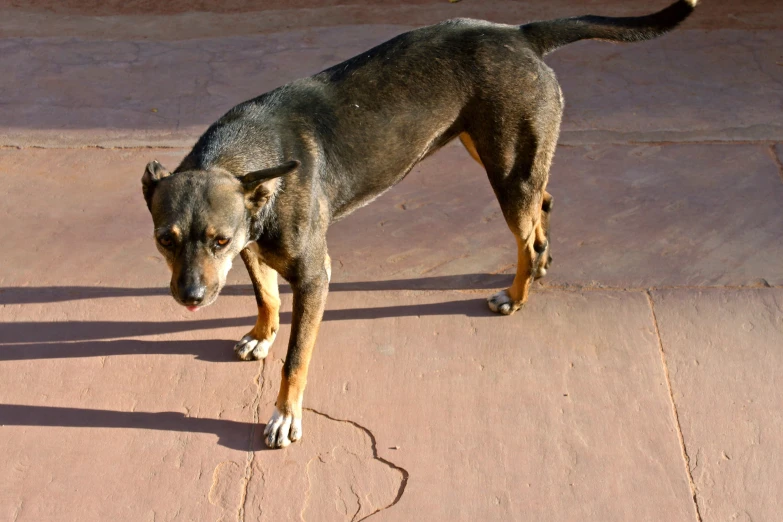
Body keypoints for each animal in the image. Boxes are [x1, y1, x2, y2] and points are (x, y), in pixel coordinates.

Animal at [141, 0, 700, 446]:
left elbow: (296, 358)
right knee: (544, 207)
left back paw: (516, 295)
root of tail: (519, 33)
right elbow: (265, 295)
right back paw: (539, 267)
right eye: (165, 240)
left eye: (218, 240)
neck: (248, 157)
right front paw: (263, 333)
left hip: (506, 171)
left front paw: (285, 415)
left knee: (526, 237)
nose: (191, 297)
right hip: (498, 154)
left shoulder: (312, 274)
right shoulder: (256, 247)